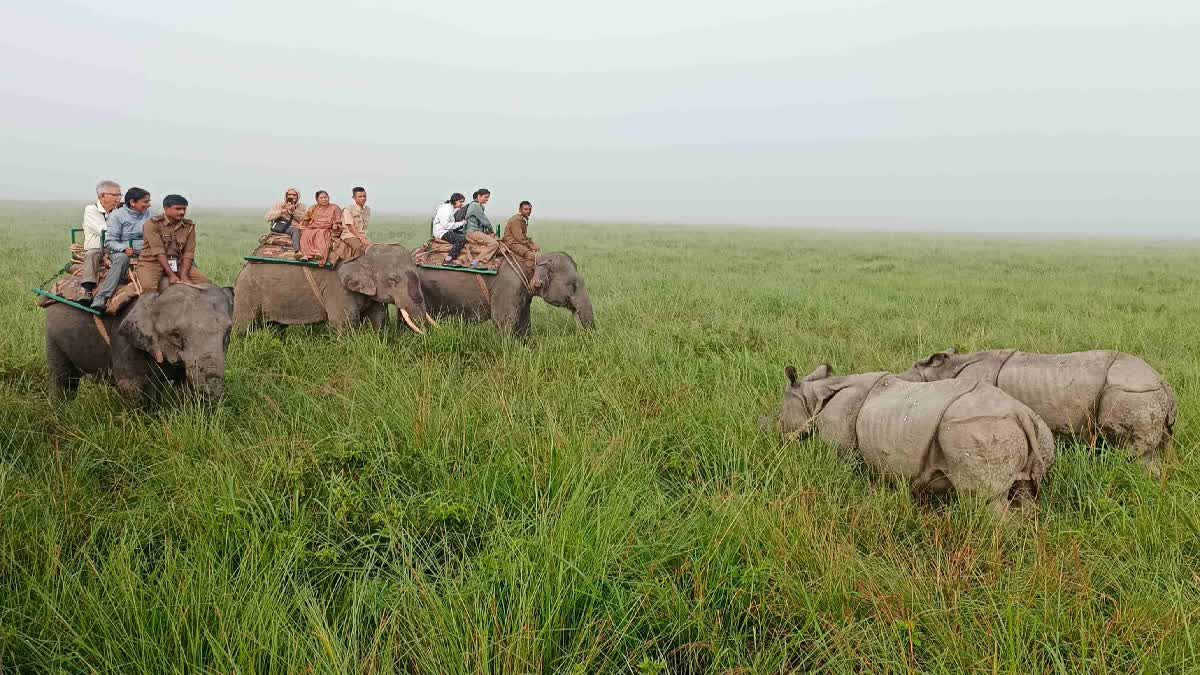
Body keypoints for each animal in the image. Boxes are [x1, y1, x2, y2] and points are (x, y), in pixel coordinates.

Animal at [45, 282, 236, 401]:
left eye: (227, 333)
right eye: (175, 335)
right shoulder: (124, 341)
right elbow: (132, 387)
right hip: (53, 337)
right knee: (64, 379)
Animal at [230, 243, 432, 333]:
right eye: (392, 280)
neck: (363, 254)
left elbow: (378, 317)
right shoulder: (337, 288)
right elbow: (345, 322)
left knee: (275, 327)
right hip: (247, 290)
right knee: (243, 326)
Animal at [417, 249, 595, 336]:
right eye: (573, 285)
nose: (588, 338)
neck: (533, 260)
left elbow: (524, 322)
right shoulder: (508, 286)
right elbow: (503, 320)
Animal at [763, 365, 1056, 511]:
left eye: (781, 415)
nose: (770, 431)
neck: (815, 396)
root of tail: (1021, 414)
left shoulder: (841, 448)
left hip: (978, 430)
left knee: (985, 502)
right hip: (1036, 431)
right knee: (1023, 493)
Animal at [902, 345, 1171, 473]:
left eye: (912, 371)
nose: (896, 376)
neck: (946, 370)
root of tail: (1164, 384)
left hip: (1132, 394)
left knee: (1135, 454)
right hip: (1143, 394)